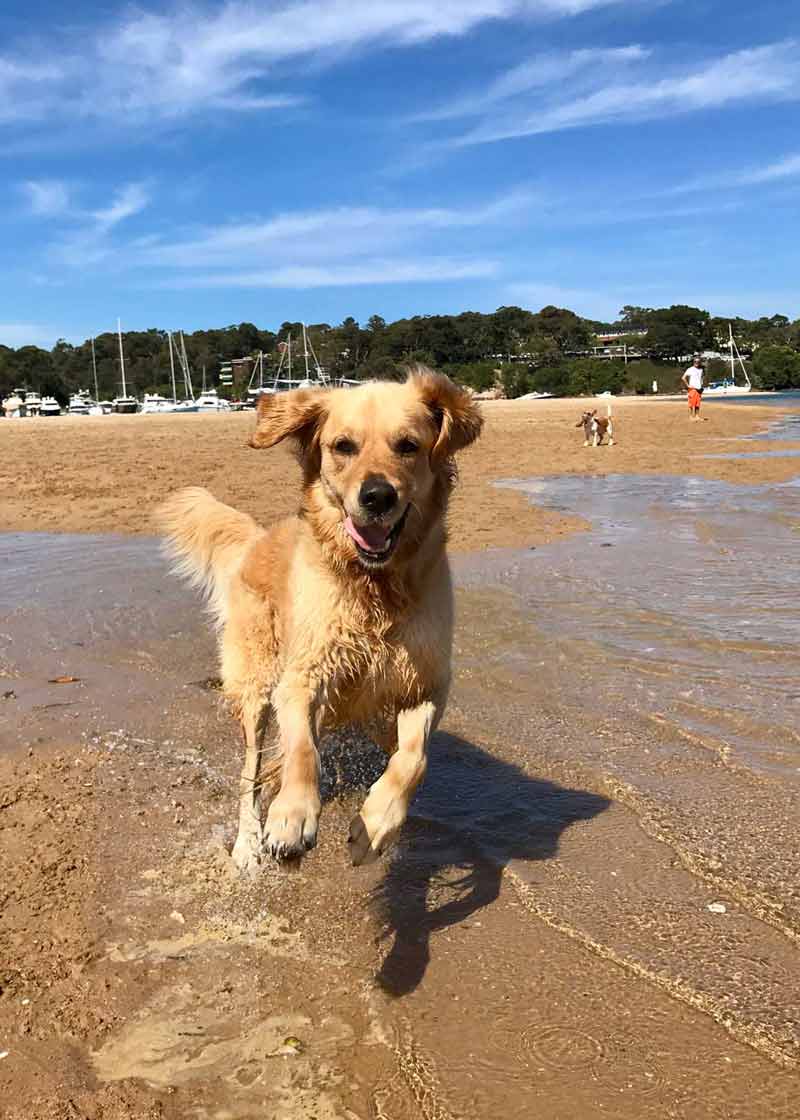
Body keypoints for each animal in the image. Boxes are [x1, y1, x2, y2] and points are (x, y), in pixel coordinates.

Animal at [156, 369, 479, 873]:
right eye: (343, 446)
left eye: (408, 445)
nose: (377, 496)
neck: (373, 587)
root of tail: (257, 539)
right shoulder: (302, 678)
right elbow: (302, 752)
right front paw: (292, 816)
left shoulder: (424, 685)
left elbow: (413, 759)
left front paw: (374, 826)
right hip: (256, 685)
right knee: (250, 770)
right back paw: (248, 843)